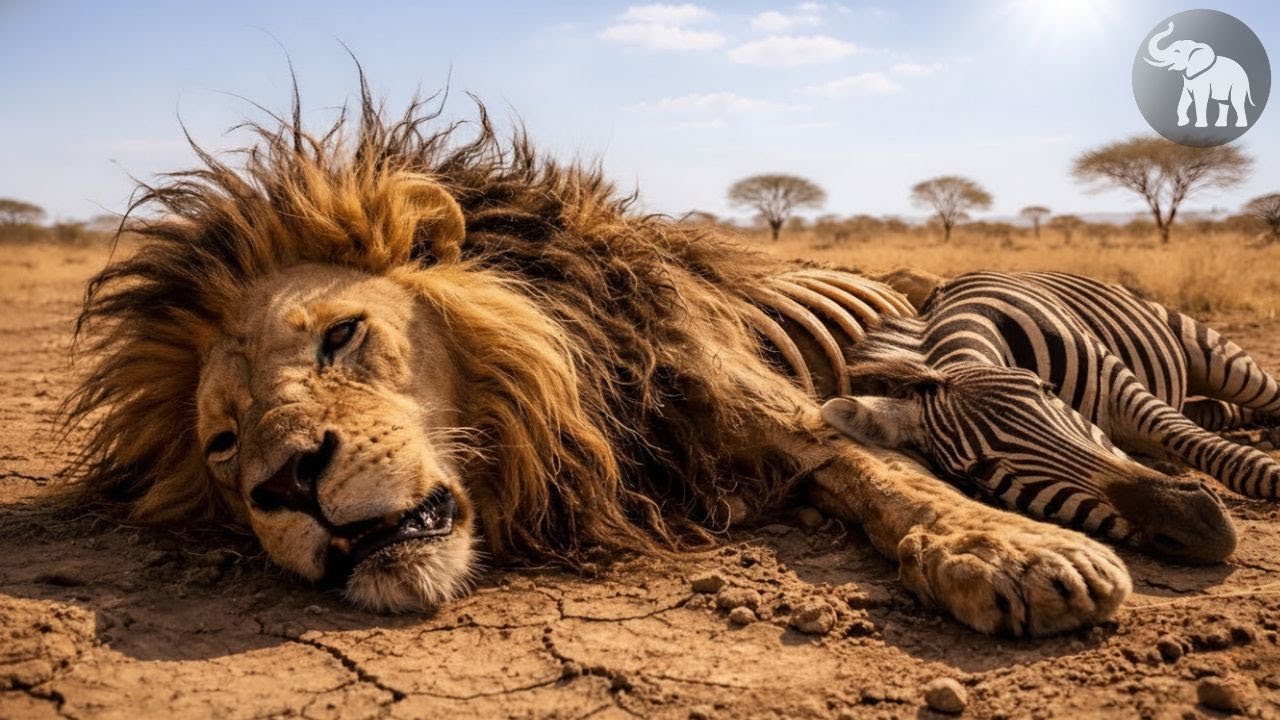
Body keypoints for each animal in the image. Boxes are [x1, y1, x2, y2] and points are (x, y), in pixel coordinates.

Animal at [63, 91, 1138, 637]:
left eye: (338, 336)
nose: (287, 483)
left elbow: (893, 478)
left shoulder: (775, 415)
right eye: (222, 444)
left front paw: (1014, 552)